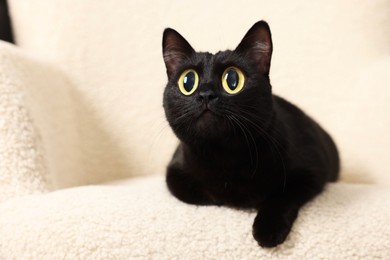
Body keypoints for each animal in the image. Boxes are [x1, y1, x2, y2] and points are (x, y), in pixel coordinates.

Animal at [161, 21, 338, 247]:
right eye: (188, 81)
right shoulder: (174, 174)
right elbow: (206, 195)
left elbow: (282, 196)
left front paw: (268, 230)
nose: (206, 94)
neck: (225, 158)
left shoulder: (312, 171)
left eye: (232, 79)